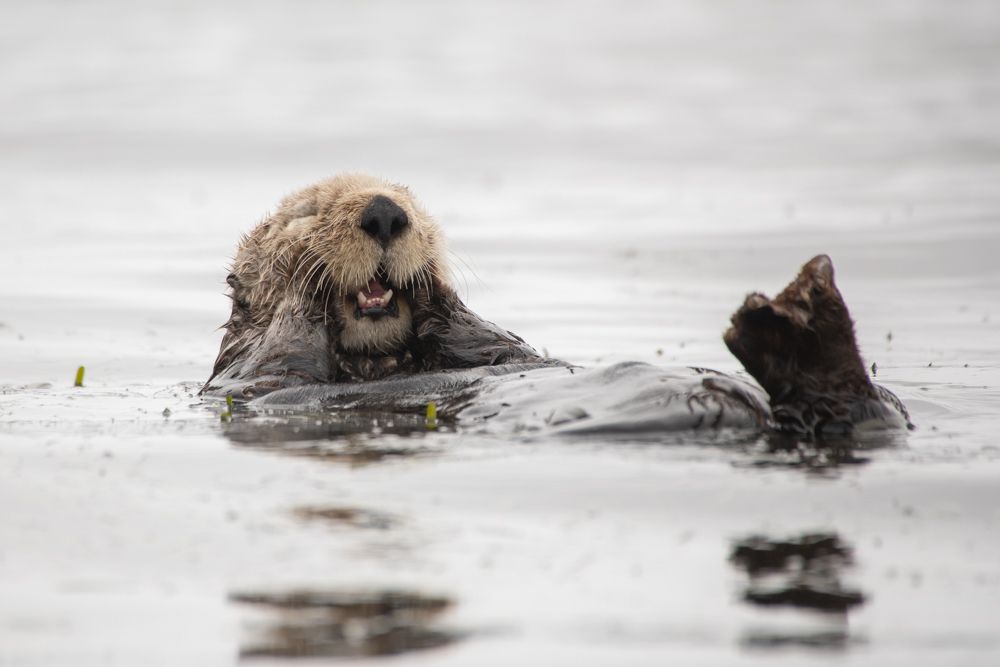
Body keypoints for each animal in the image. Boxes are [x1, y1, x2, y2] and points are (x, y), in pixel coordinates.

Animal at [203, 174, 910, 438]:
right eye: (306, 211)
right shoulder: (248, 384)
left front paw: (433, 283)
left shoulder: (495, 350)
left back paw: (803, 304)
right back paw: (783, 321)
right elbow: (280, 361)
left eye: (411, 199)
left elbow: (498, 346)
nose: (384, 212)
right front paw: (305, 282)